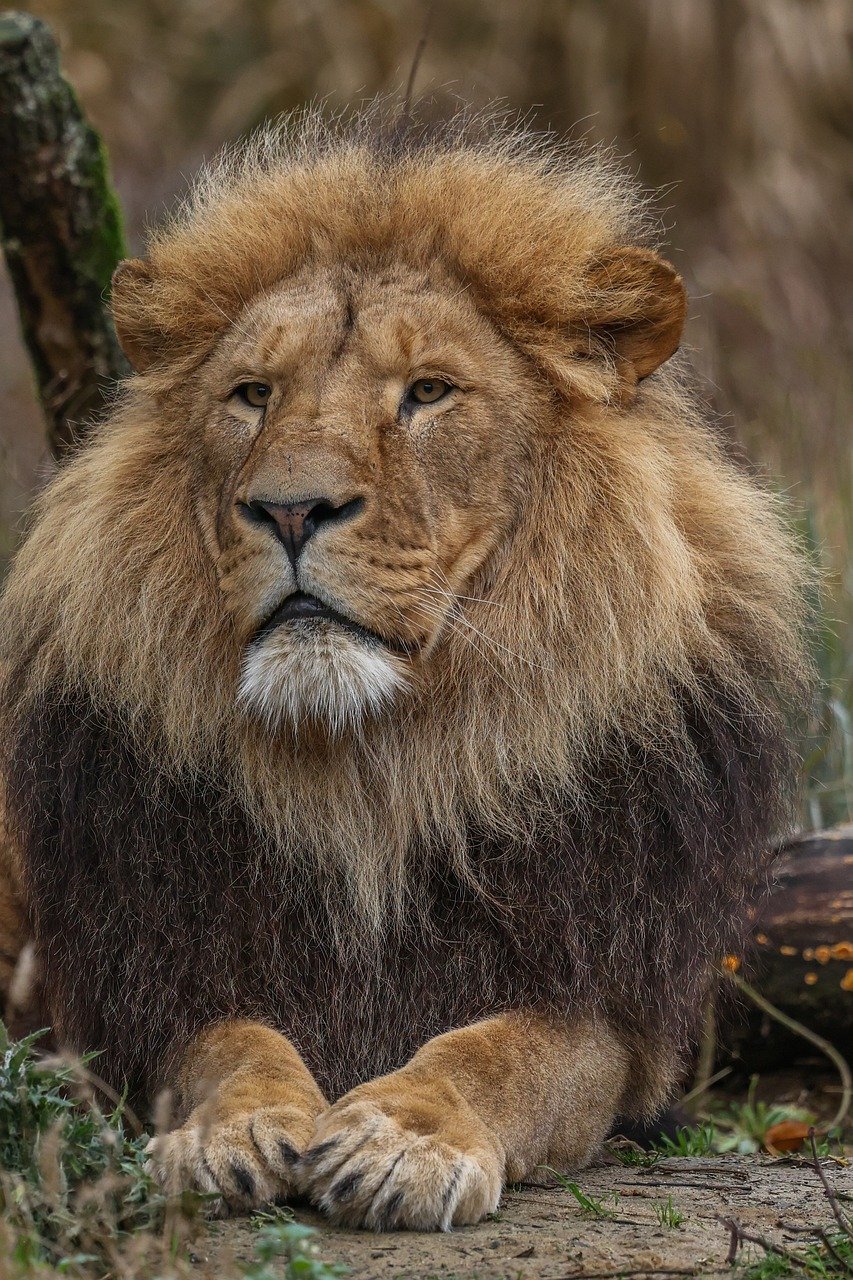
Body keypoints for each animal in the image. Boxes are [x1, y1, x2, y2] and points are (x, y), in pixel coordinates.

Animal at [0, 109, 809, 1231]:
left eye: (427, 393)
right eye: (251, 396)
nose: (290, 508)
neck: (378, 774)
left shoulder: (608, 1005)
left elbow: (503, 1052)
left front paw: (400, 1136)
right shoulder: (160, 972)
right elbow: (228, 1043)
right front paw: (226, 1132)